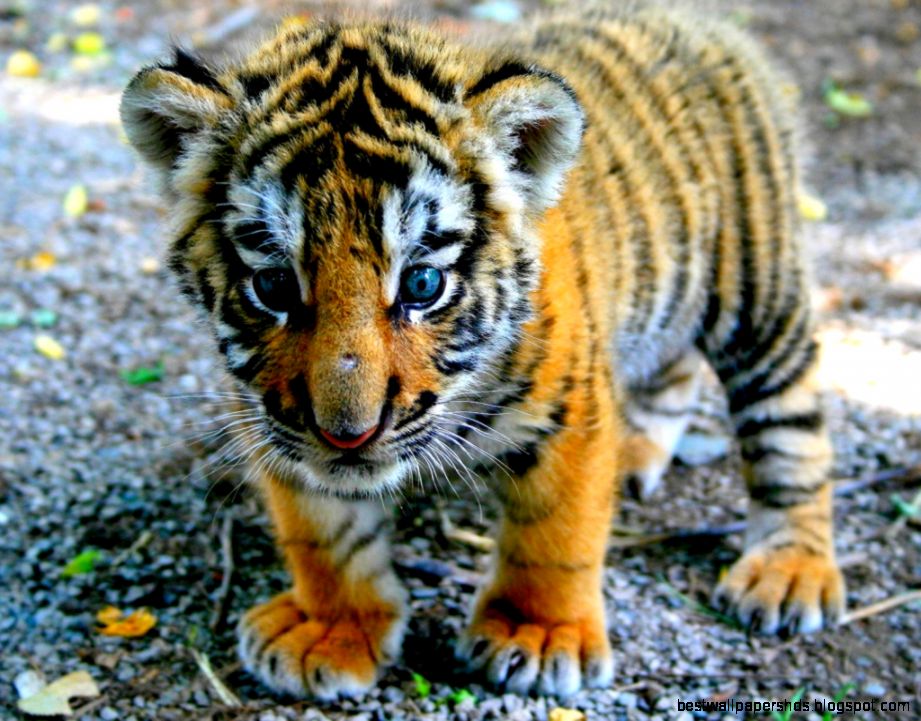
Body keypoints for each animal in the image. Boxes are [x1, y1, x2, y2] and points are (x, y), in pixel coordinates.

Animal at [120, 3, 845, 700]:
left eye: (422, 284)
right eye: (272, 285)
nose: (348, 435)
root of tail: (695, 20)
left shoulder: (569, 409)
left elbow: (555, 530)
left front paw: (539, 633)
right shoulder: (273, 418)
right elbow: (323, 531)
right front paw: (331, 628)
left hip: (758, 294)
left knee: (791, 429)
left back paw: (789, 570)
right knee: (672, 371)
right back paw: (638, 455)